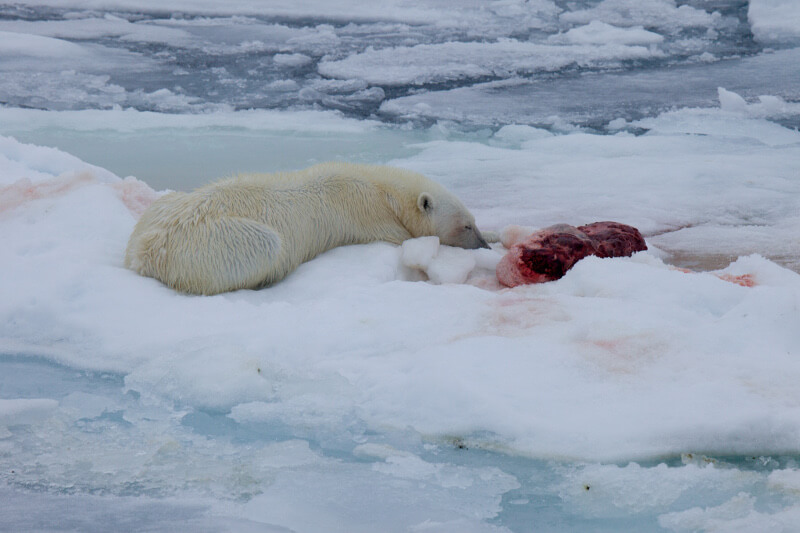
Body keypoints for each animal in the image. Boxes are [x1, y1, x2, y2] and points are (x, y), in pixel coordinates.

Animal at [124, 162, 490, 295]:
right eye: (466, 225)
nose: (483, 245)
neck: (381, 190)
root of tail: (145, 254)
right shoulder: (370, 217)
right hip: (215, 241)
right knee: (267, 246)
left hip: (160, 210)